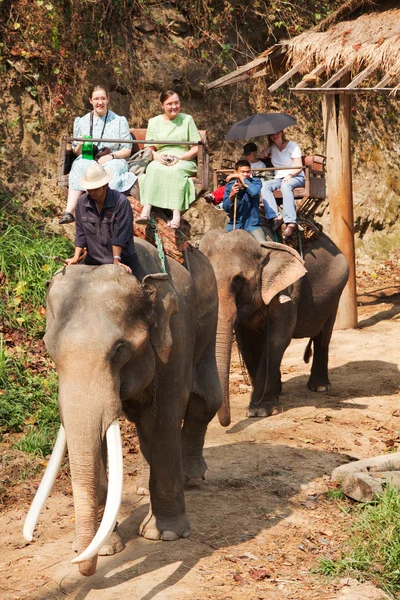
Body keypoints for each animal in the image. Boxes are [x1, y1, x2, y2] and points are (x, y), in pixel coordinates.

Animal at [22, 238, 222, 576]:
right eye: (49, 349)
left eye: (119, 349)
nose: (81, 562)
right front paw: (104, 549)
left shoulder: (176, 337)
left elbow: (165, 417)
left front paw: (165, 535)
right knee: (144, 427)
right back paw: (141, 489)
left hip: (210, 317)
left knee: (205, 401)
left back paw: (191, 478)